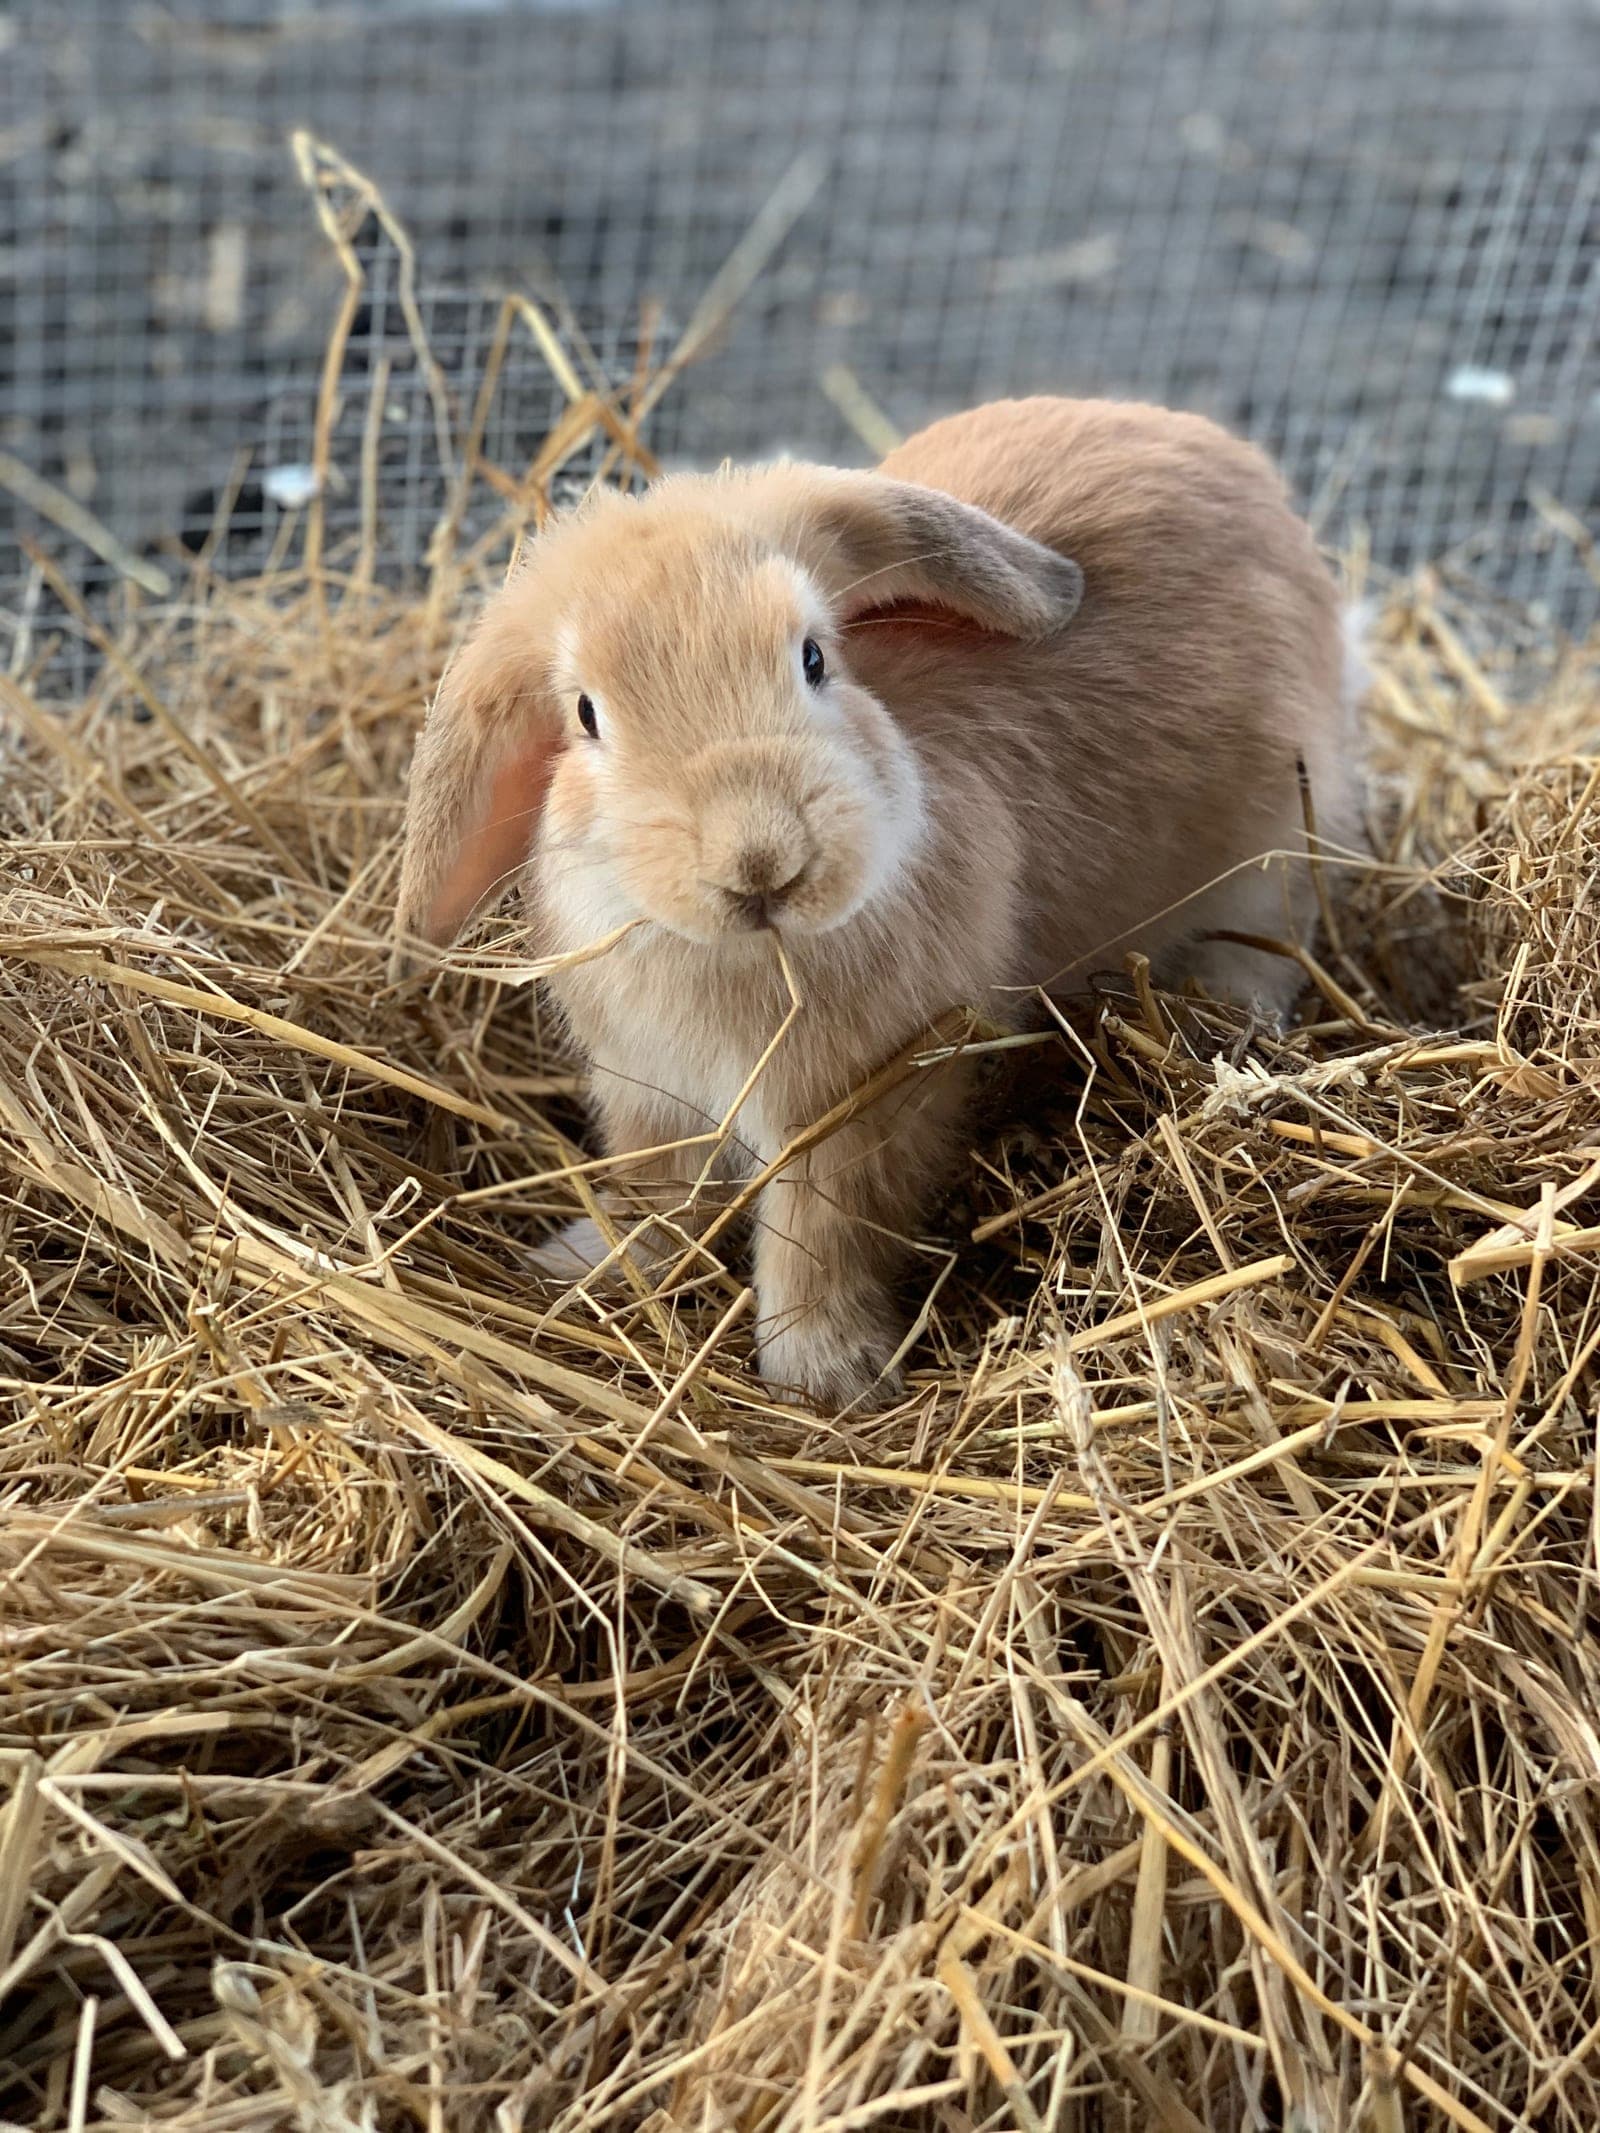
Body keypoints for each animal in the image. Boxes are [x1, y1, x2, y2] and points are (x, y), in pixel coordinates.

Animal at [394, 396, 1364, 1409]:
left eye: (815, 658)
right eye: (586, 715)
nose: (762, 860)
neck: (755, 957)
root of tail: (1239, 465)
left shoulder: (865, 1105)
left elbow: (822, 1233)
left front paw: (826, 1376)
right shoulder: (647, 1091)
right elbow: (657, 1193)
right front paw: (584, 1265)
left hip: (1276, 857)